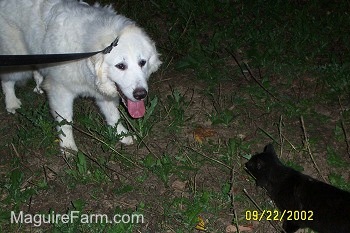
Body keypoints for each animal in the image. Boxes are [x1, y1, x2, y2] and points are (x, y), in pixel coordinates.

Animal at [0, 0, 161, 151]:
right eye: (121, 66)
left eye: (142, 62)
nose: (141, 94)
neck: (86, 55)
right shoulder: (61, 90)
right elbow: (65, 121)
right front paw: (68, 147)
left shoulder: (100, 91)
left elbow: (113, 115)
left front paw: (122, 135)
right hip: (17, 59)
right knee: (7, 80)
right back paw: (12, 103)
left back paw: (39, 85)